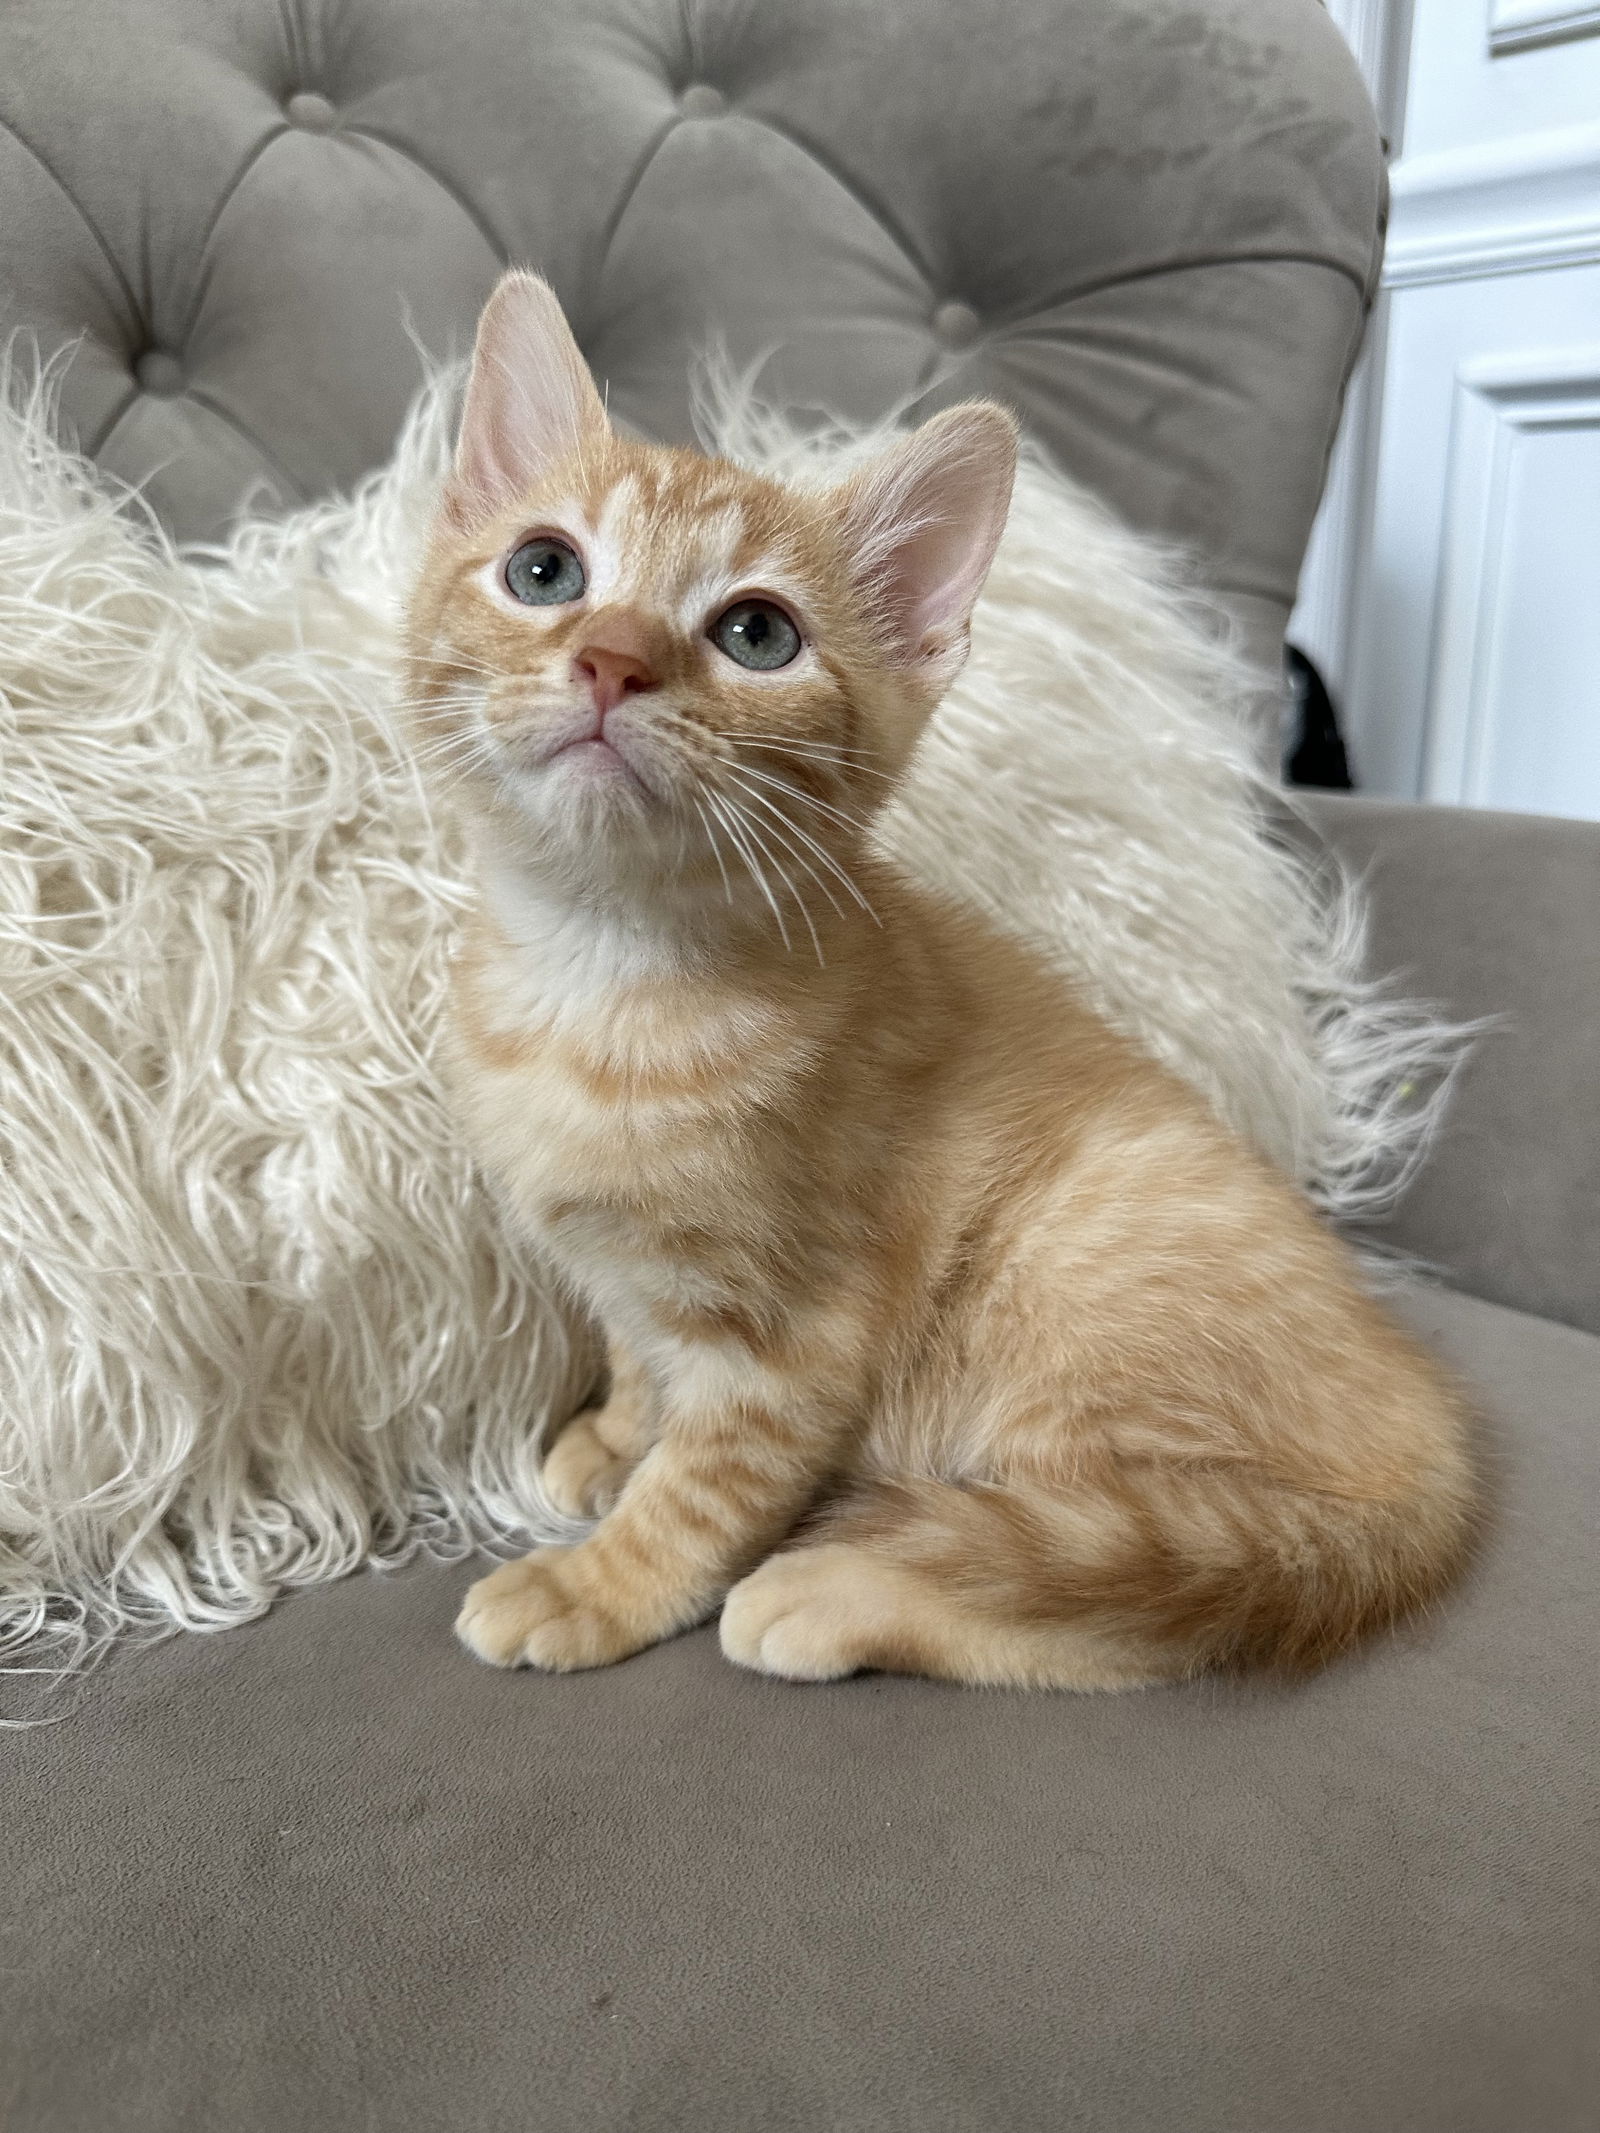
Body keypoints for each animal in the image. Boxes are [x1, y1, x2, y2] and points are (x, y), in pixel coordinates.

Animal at [407, 275, 1484, 1689]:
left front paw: (597, 1581)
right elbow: (645, 1354)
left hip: (1067, 1305)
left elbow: (709, 1487)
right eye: (544, 570)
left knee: (1135, 1580)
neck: (603, 974)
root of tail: (1430, 1459)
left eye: (756, 634)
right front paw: (615, 1433)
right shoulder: (628, 1272)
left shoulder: (805, 1340)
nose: (612, 660)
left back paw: (836, 1589)